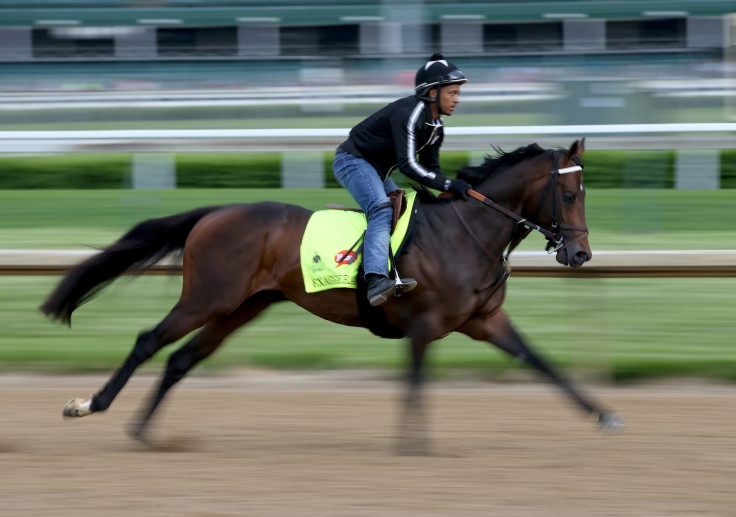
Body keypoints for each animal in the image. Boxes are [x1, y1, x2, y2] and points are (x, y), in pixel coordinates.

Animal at [40, 138, 624, 448]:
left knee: (181, 358)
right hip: (207, 298)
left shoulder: (484, 322)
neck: (466, 231)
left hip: (240, 308)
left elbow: (542, 362)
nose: (580, 255)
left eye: (585, 192)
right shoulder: (423, 324)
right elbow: (416, 380)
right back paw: (89, 405)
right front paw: (412, 443)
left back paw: (143, 430)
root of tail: (214, 212)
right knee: (148, 341)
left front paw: (604, 415)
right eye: (568, 194)